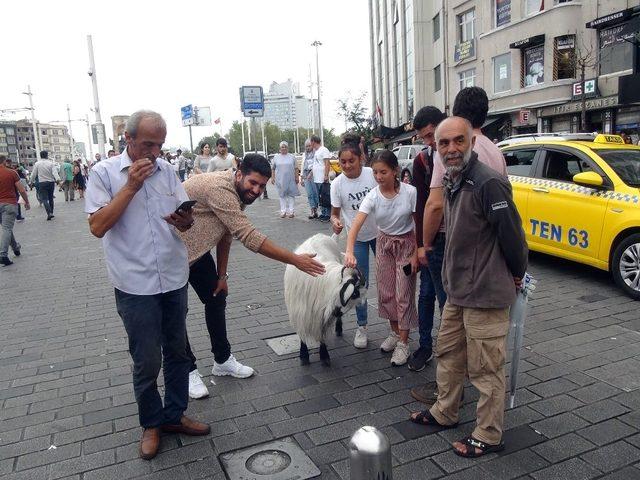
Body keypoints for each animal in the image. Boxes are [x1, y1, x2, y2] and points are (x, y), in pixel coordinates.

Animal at [284, 234, 368, 366]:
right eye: (354, 293)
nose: (337, 313)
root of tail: (323, 236)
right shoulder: (300, 312)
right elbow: (302, 334)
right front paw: (304, 355)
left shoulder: (322, 315)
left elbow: (321, 334)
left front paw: (324, 355)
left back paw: (338, 328)